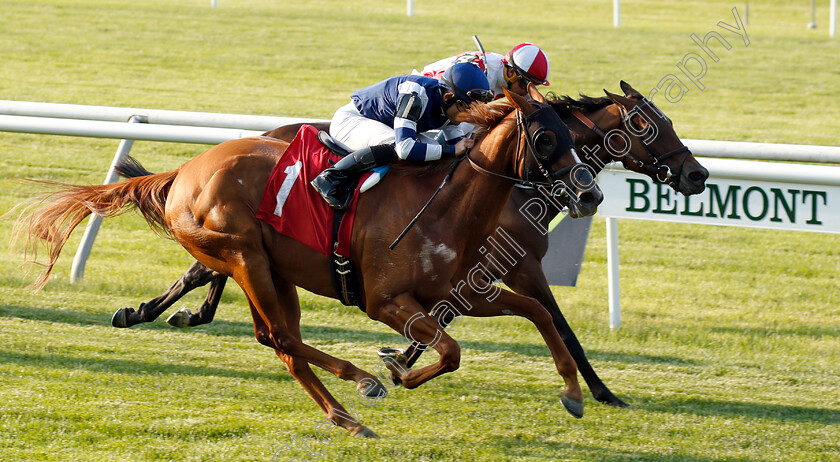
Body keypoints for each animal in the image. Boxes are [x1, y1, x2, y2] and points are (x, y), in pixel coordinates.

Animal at [14, 87, 604, 436]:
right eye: (546, 136)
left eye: (574, 134)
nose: (591, 194)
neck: (448, 206)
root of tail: (184, 170)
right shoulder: (387, 301)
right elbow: (453, 349)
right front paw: (396, 371)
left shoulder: (457, 292)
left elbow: (537, 312)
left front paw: (575, 393)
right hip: (244, 254)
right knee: (282, 339)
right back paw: (360, 383)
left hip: (272, 271)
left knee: (277, 342)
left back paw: (346, 413)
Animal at [108, 82, 704, 408]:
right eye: (650, 127)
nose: (696, 175)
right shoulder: (514, 267)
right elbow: (555, 324)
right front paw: (602, 390)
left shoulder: (486, 275)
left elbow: (513, 320)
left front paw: (399, 357)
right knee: (212, 274)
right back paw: (151, 311)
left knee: (217, 277)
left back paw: (175, 312)